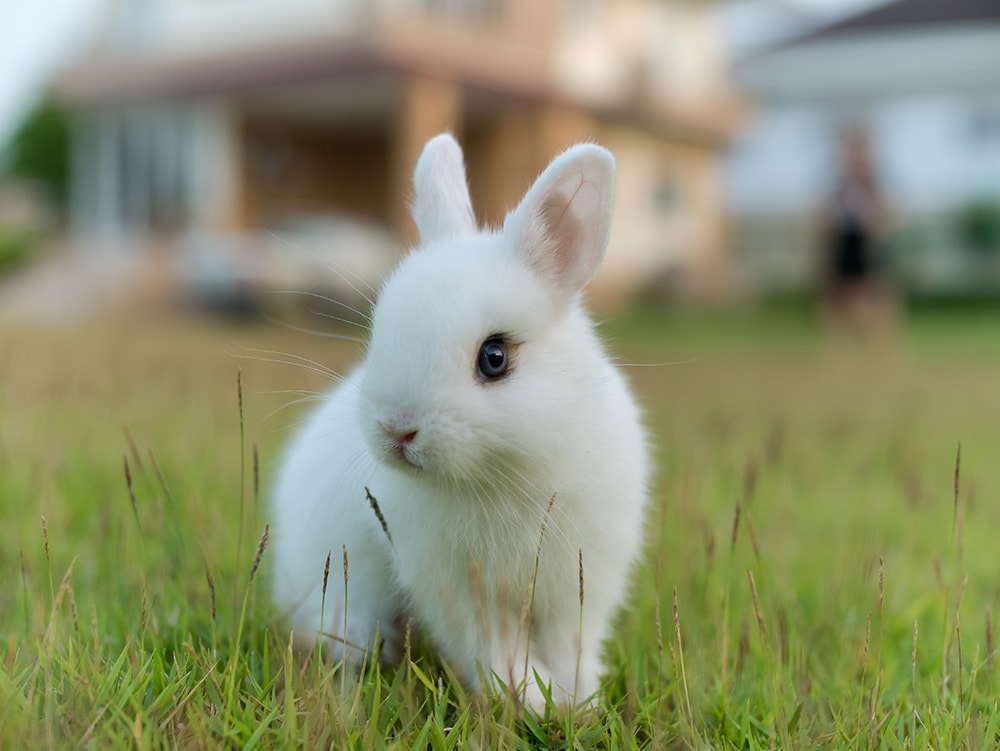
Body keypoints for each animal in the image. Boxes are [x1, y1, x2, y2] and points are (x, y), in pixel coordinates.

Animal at [272, 132, 648, 708]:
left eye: (494, 357)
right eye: (380, 332)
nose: (397, 429)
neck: (506, 476)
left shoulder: (580, 583)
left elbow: (571, 644)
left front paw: (577, 700)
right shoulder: (460, 592)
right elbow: (494, 648)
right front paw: (531, 699)